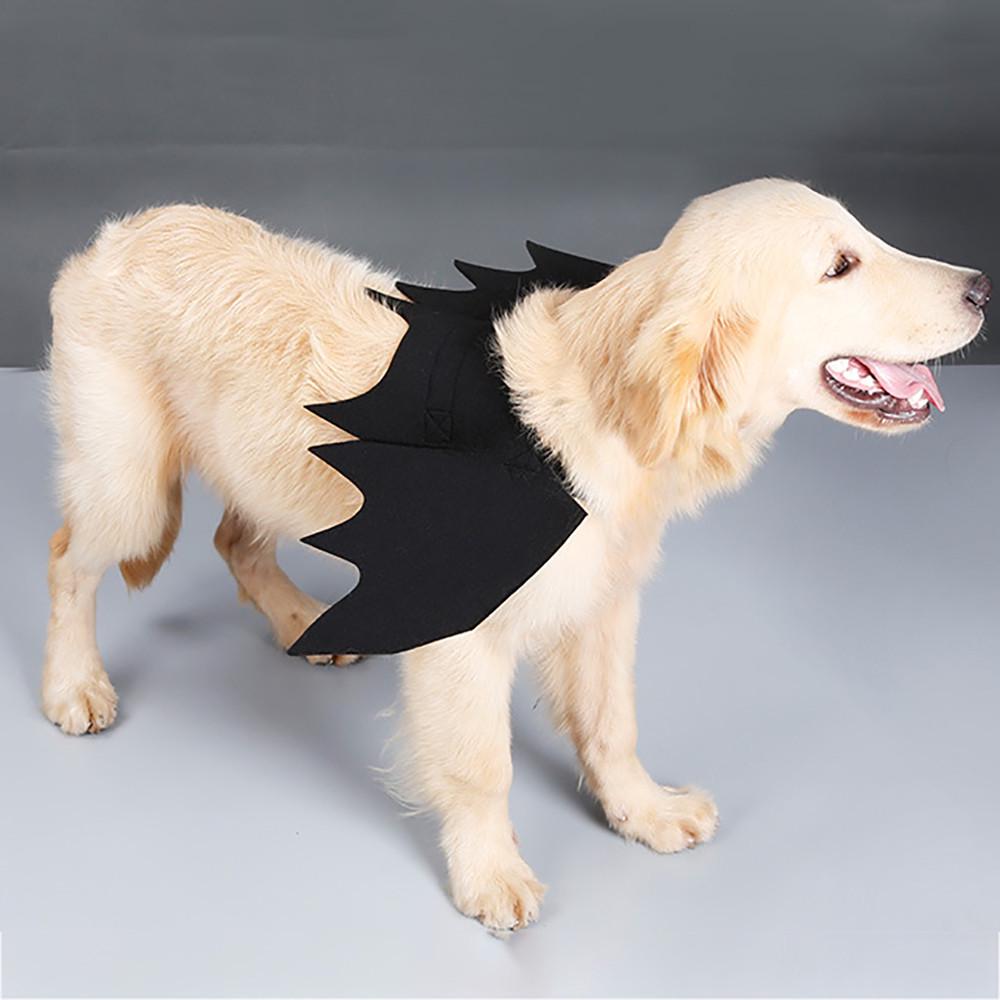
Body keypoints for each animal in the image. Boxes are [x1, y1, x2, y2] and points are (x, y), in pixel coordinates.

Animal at [42, 179, 988, 930]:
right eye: (839, 266)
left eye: (863, 238)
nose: (982, 286)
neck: (601, 412)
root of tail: (115, 234)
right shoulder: (455, 621)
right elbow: (481, 765)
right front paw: (489, 875)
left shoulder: (608, 602)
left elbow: (612, 724)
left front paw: (642, 812)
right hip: (129, 484)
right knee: (67, 559)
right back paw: (73, 685)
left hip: (258, 465)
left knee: (233, 539)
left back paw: (304, 621)